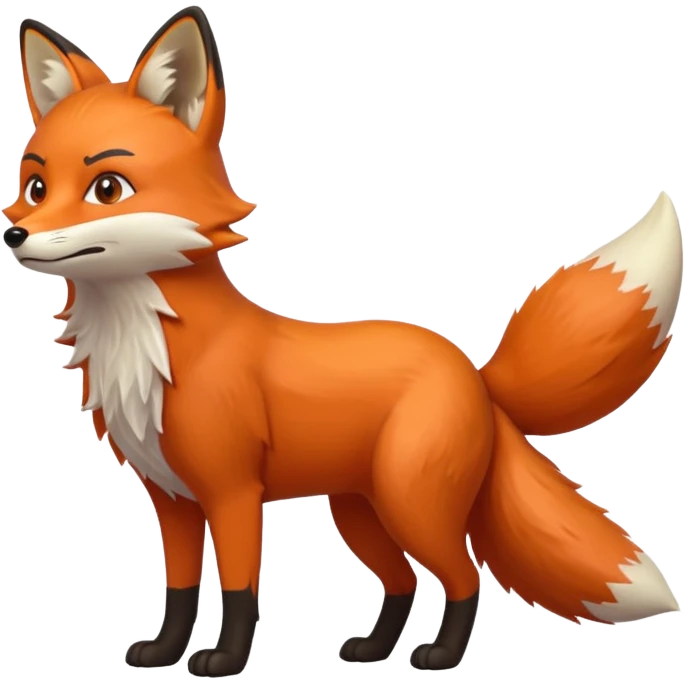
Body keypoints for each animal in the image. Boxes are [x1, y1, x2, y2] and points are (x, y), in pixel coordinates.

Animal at [3, 8, 683, 678]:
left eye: (107, 189)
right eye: (35, 187)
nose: (15, 235)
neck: (150, 349)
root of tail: (473, 370)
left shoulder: (233, 493)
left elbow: (240, 589)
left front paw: (224, 660)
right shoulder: (172, 499)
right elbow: (179, 589)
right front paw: (164, 653)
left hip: (412, 504)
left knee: (466, 577)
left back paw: (440, 655)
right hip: (359, 512)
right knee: (404, 582)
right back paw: (375, 650)